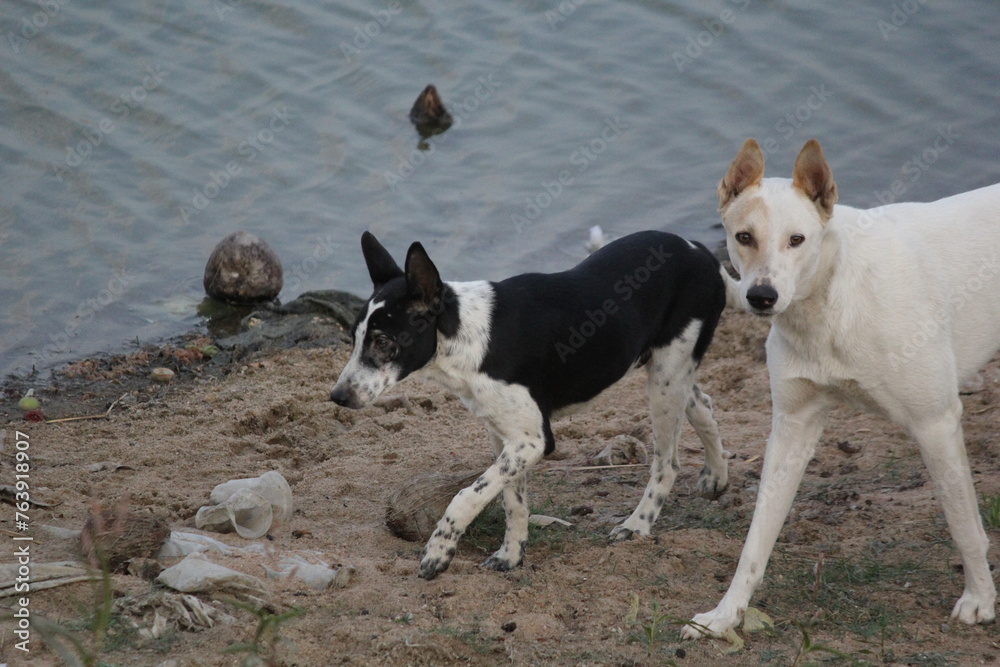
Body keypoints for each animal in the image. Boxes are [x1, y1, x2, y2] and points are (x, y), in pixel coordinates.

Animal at [332, 231, 732, 580]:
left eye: (383, 342)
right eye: (353, 339)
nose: (337, 397)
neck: (470, 337)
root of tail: (698, 250)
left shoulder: (534, 440)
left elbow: (465, 496)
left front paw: (438, 552)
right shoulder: (507, 438)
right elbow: (513, 501)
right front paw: (511, 556)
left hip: (666, 378)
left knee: (668, 462)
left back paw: (637, 525)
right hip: (672, 375)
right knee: (704, 404)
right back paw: (716, 475)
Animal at [684, 138, 996, 640]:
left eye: (797, 240)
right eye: (744, 237)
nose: (762, 297)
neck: (831, 298)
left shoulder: (936, 423)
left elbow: (965, 526)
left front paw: (980, 600)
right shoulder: (791, 428)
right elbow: (756, 540)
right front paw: (725, 614)